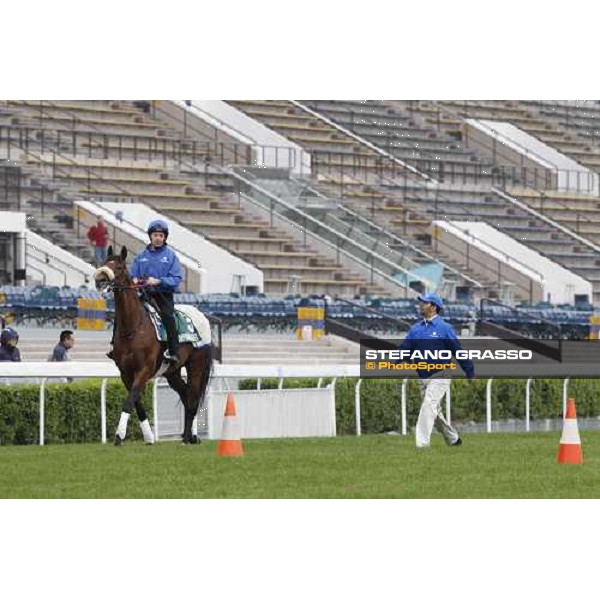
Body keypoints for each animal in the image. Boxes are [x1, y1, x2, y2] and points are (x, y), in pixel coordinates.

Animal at [94, 245, 213, 446]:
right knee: (185, 395)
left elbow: (130, 400)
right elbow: (136, 402)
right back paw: (186, 436)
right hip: (172, 372)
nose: (100, 279)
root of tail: (202, 317)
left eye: (118, 267)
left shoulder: (144, 369)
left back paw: (190, 437)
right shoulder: (125, 372)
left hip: (196, 366)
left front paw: (119, 435)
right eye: (104, 262)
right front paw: (149, 437)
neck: (133, 327)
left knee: (193, 397)